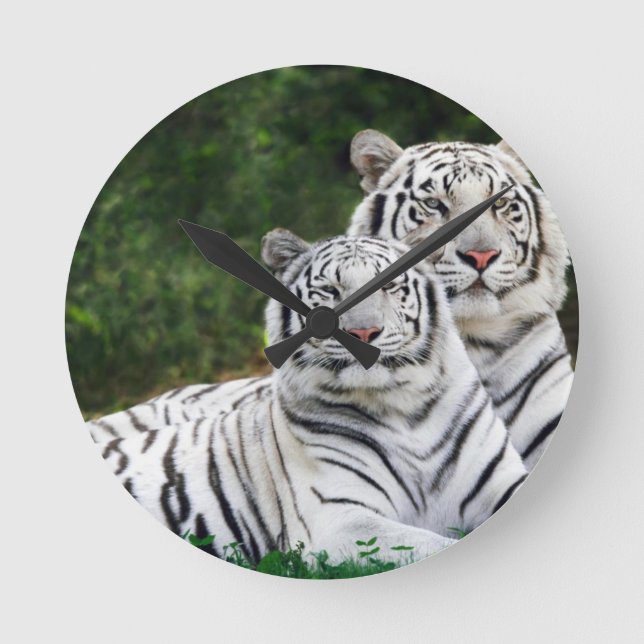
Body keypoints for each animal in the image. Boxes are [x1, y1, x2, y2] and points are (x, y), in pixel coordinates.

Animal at [92, 231, 527, 565]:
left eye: (388, 285)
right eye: (329, 291)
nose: (363, 333)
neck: (405, 408)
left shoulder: (501, 480)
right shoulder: (339, 520)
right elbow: (431, 544)